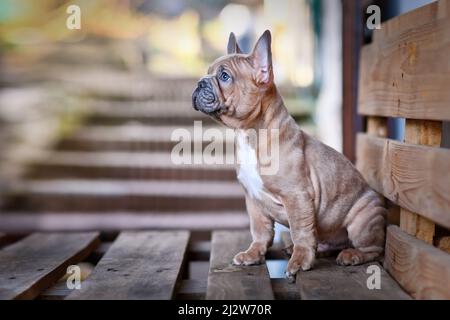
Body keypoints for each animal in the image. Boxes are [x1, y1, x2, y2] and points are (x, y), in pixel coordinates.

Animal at [192, 30, 384, 280]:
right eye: (207, 72)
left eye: (224, 76)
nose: (199, 83)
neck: (250, 134)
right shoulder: (253, 201)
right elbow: (260, 230)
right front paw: (254, 253)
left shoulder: (297, 197)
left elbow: (301, 231)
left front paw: (301, 261)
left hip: (363, 219)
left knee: (373, 249)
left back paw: (353, 255)